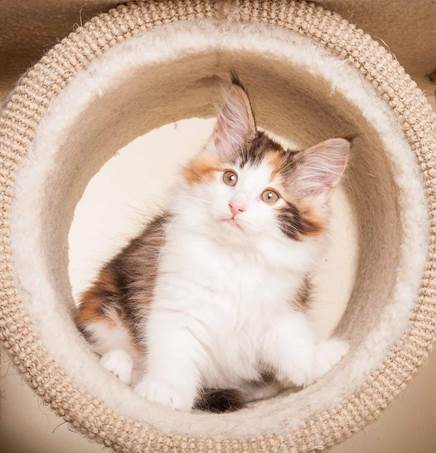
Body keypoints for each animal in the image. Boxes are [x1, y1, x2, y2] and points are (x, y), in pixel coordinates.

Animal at [75, 75, 351, 412]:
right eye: (230, 178)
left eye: (269, 196)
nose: (236, 207)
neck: (235, 257)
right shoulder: (174, 298)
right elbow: (173, 349)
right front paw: (165, 392)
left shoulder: (279, 309)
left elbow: (292, 343)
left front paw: (317, 361)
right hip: (104, 302)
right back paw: (118, 366)